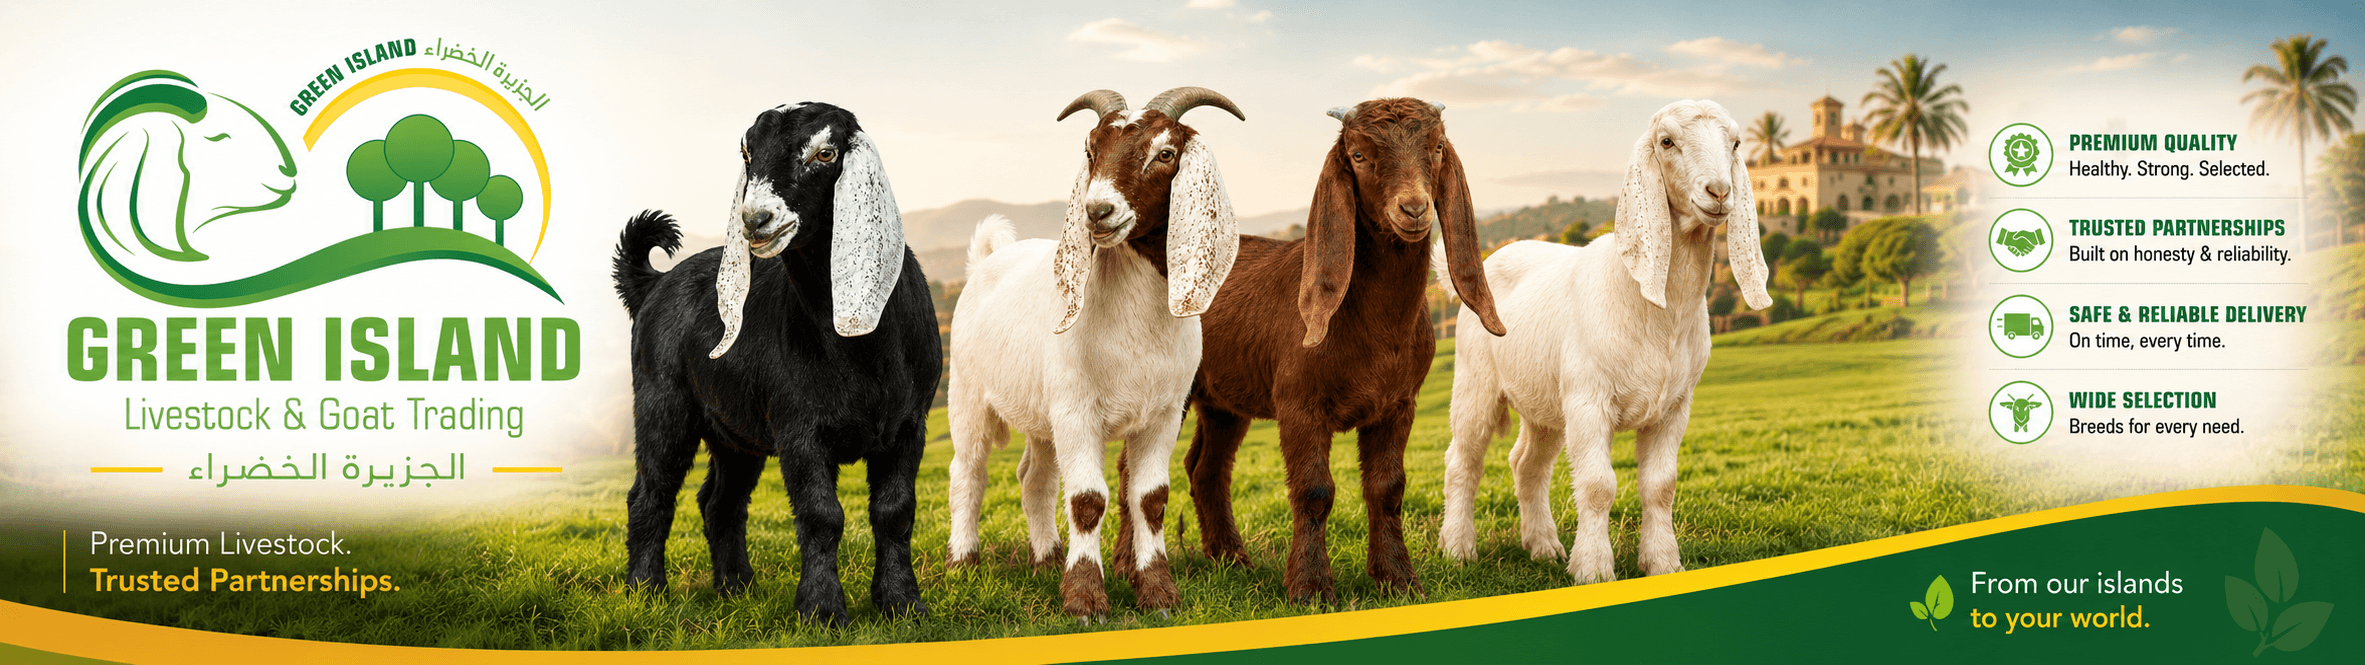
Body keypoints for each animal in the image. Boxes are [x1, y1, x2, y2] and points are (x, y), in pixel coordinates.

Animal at [610, 102, 941, 626]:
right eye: (747, 153)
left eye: (825, 153)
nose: (756, 218)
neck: (859, 350)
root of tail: (656, 282)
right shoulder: (797, 427)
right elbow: (821, 515)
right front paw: (821, 611)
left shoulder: (910, 424)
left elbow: (895, 512)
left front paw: (902, 604)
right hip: (662, 402)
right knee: (651, 494)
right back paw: (645, 589)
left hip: (734, 431)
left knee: (719, 503)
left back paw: (736, 586)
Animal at [945, 88, 1244, 616]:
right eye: (1090, 150)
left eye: (1166, 153)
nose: (1097, 211)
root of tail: (984, 261)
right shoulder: (1077, 411)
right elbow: (1088, 500)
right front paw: (1084, 599)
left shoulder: (1163, 414)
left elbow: (1151, 499)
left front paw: (1158, 593)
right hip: (968, 395)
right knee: (969, 473)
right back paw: (964, 562)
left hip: (1041, 417)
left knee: (1035, 478)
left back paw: (1046, 559)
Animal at [1183, 98, 1504, 604]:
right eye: (1358, 155)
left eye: (1436, 147)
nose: (1414, 208)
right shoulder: (1299, 403)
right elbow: (1314, 491)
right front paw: (1311, 590)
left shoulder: (1397, 404)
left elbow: (1388, 488)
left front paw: (1399, 580)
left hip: (1222, 402)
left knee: (1206, 469)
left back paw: (1230, 559)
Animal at [1436, 99, 1768, 584]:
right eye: (1666, 141)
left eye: (1737, 143)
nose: (1720, 192)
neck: (1656, 308)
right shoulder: (1588, 399)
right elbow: (1597, 485)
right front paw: (1593, 569)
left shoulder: (1674, 406)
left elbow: (1661, 486)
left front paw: (1662, 563)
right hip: (1474, 381)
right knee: (1464, 461)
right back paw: (1458, 549)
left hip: (1546, 404)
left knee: (1527, 465)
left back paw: (1543, 547)